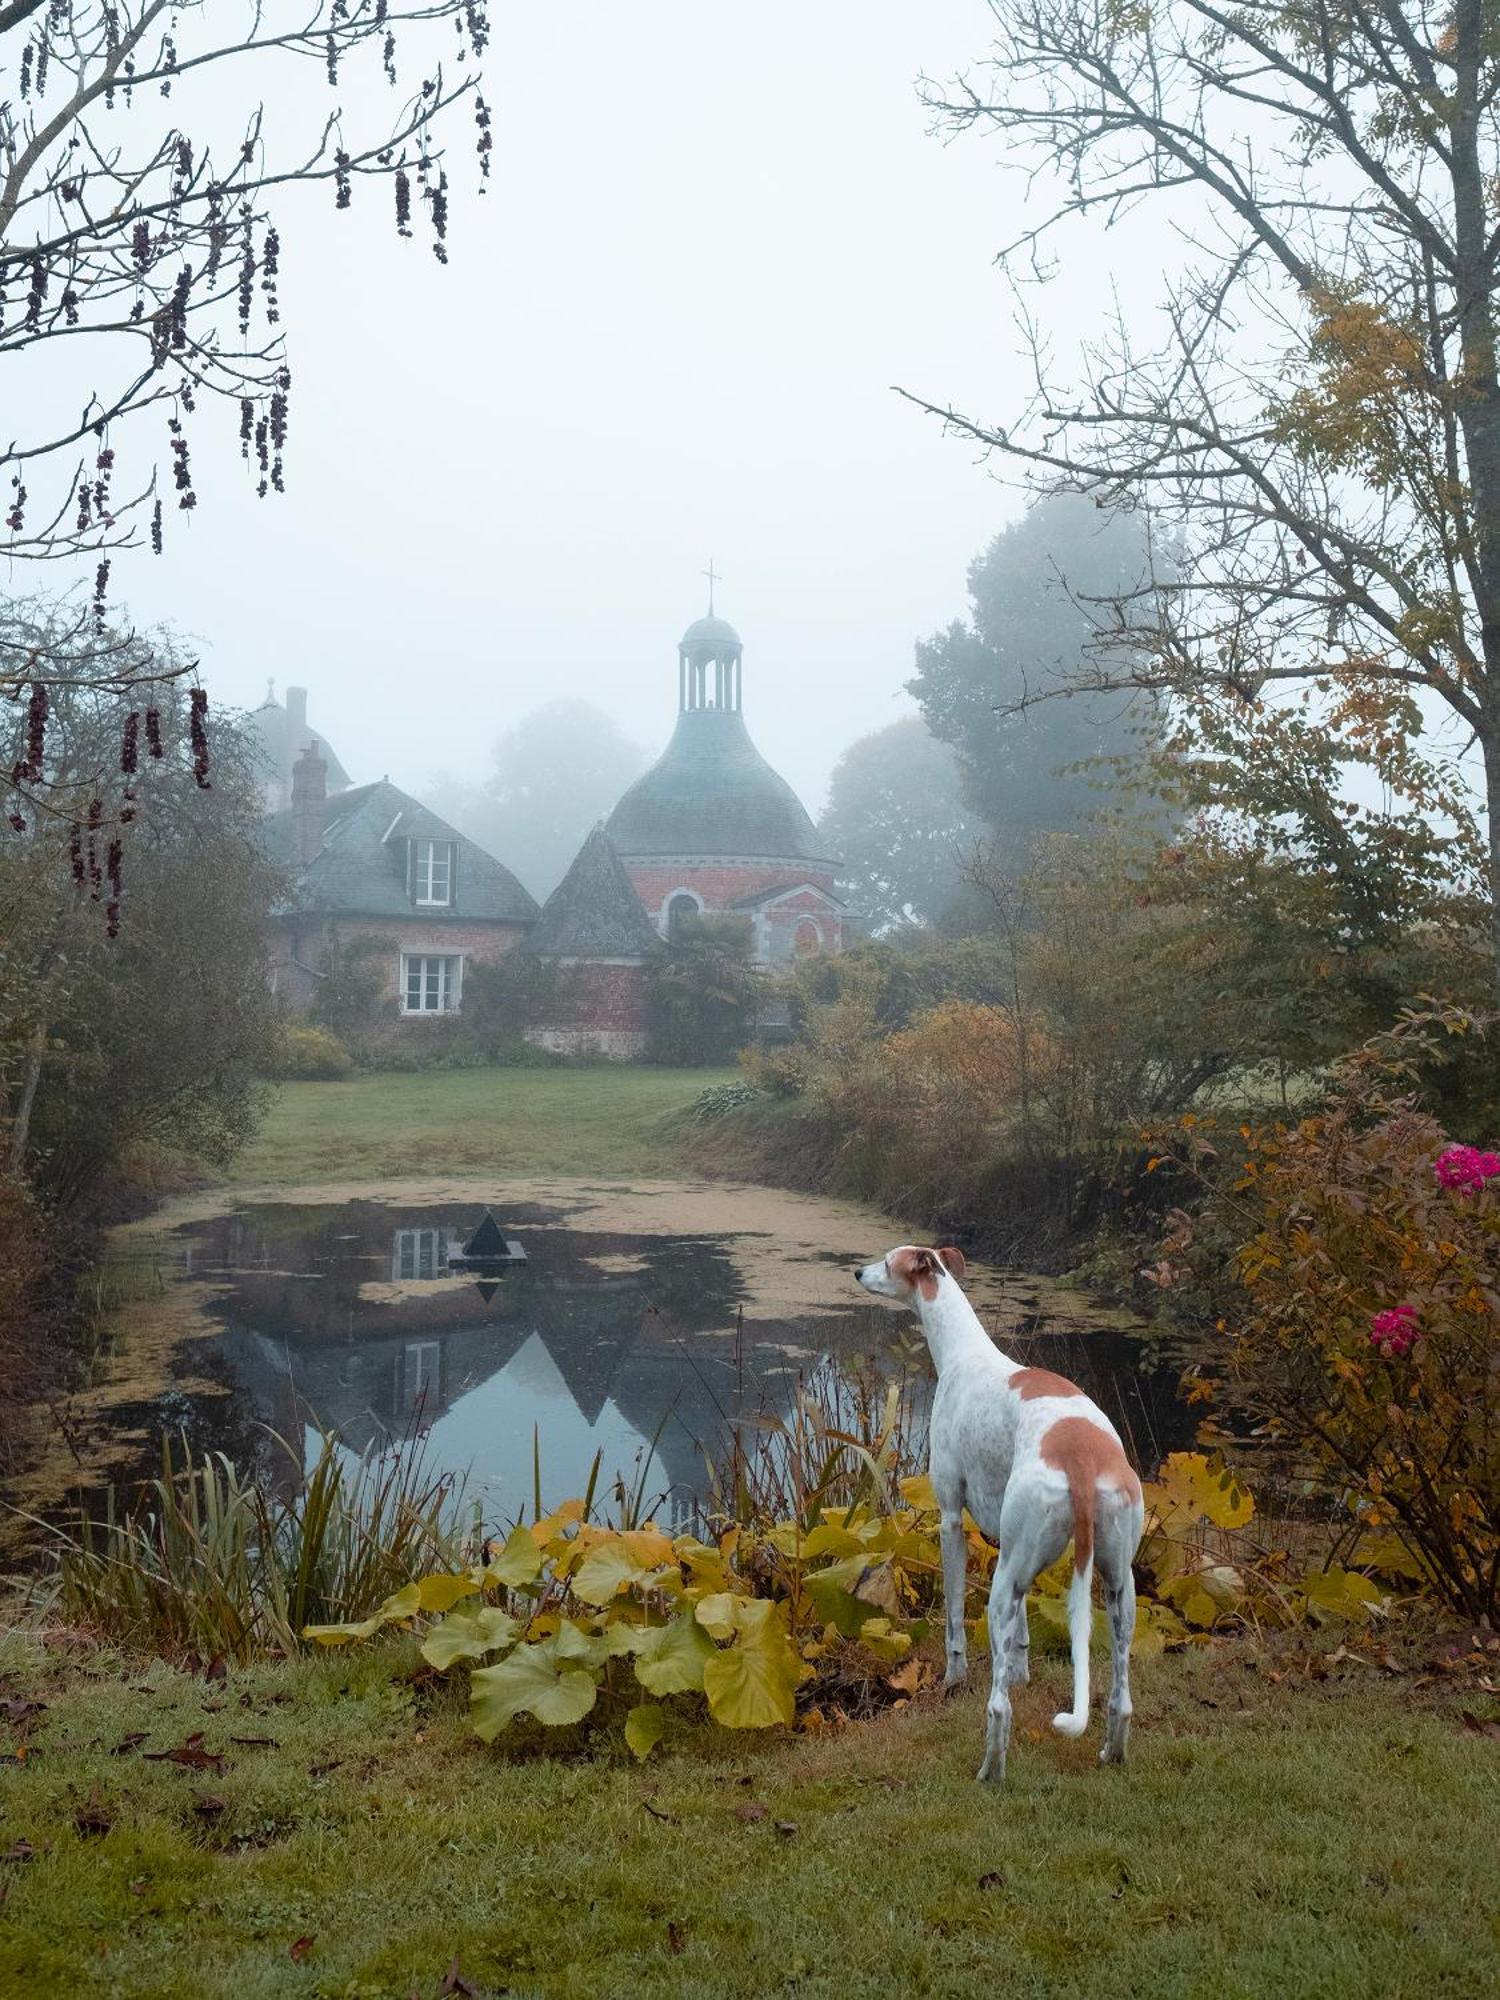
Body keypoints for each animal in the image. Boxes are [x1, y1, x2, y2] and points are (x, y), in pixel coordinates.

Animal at [856, 1248, 1152, 1784]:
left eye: (888, 1263)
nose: (856, 1271)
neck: (964, 1354)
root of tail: (1079, 1461)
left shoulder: (951, 1519)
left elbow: (954, 1615)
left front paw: (954, 1679)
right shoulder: (1008, 1544)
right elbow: (1023, 1638)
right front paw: (1021, 1670)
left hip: (1003, 1586)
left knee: (999, 1707)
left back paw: (989, 1771)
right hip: (1117, 1585)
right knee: (1121, 1699)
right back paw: (1111, 1753)